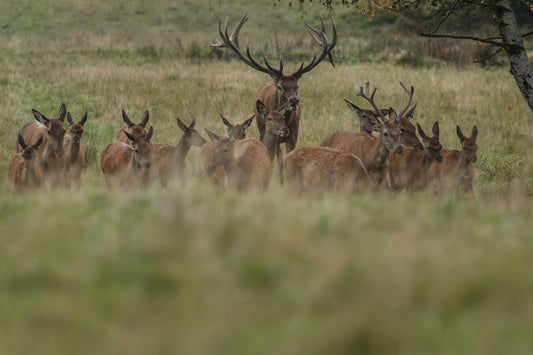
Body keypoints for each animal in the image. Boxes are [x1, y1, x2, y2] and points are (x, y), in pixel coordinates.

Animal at [212, 13, 336, 156]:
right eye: (280, 86)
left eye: (297, 86)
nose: (294, 100)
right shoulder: (270, 134)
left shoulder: (294, 135)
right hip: (261, 129)